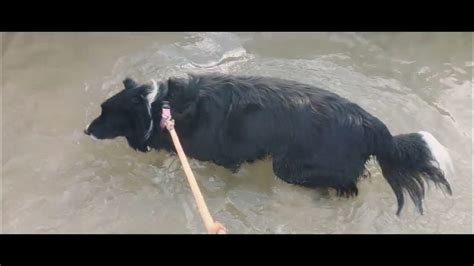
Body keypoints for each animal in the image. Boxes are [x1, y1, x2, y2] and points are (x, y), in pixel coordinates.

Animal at [84, 74, 452, 215]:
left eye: (105, 114)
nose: (86, 129)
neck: (159, 108)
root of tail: (372, 124)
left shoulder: (220, 157)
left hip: (289, 167)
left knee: (342, 185)